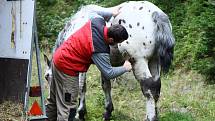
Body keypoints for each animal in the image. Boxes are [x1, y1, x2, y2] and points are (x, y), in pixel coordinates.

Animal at [43, 1, 175, 121]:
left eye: (47, 76)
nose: (49, 95)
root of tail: (155, 13)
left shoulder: (81, 64)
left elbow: (81, 87)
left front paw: (80, 113)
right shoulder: (105, 64)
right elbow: (106, 85)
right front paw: (107, 112)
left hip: (140, 61)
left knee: (149, 87)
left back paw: (150, 117)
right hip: (154, 60)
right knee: (156, 87)